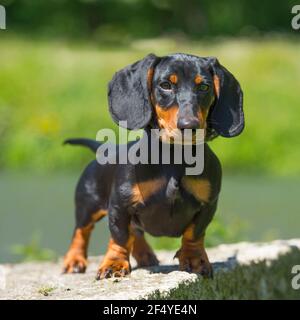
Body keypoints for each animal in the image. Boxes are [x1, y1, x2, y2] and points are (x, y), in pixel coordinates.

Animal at [62, 53, 244, 278]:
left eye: (204, 87)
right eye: (165, 85)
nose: (189, 126)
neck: (174, 158)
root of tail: (106, 148)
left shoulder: (207, 206)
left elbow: (194, 234)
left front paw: (194, 259)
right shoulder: (120, 205)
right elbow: (119, 237)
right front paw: (114, 264)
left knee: (136, 232)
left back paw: (145, 255)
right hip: (88, 205)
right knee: (81, 231)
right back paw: (74, 261)